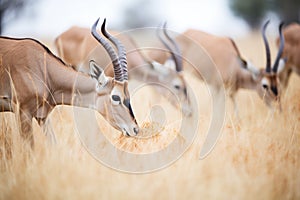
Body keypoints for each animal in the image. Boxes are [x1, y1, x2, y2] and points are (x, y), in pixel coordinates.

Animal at [150, 21, 286, 113]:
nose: (278, 107)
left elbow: (236, 110)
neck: (234, 64)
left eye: (278, 82)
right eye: (265, 85)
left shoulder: (231, 92)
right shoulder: (216, 87)